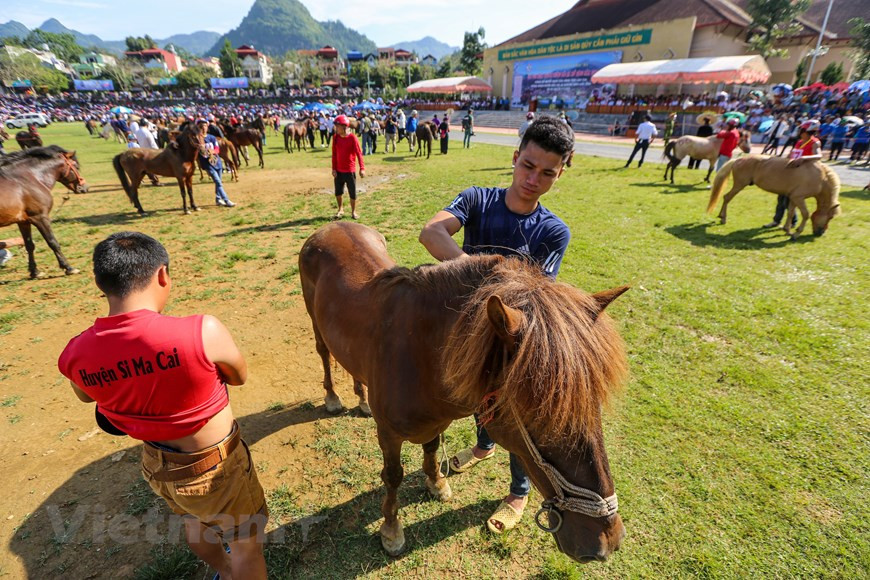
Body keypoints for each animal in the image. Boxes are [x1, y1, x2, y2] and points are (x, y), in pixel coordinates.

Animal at [0, 146, 89, 278]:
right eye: (76, 166)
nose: (85, 188)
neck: (26, 179)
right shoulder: (40, 217)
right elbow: (52, 242)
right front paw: (68, 268)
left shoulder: (23, 221)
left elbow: (29, 245)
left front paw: (35, 272)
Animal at [300, 222, 628, 561]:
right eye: (541, 411)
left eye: (594, 402)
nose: (607, 540)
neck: (418, 355)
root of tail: (330, 227)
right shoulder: (388, 434)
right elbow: (392, 476)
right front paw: (391, 530)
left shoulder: (435, 423)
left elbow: (431, 450)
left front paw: (436, 483)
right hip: (316, 324)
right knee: (324, 353)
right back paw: (333, 398)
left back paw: (362, 400)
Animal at [708, 154, 841, 239]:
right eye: (830, 217)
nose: (821, 233)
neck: (821, 177)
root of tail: (738, 159)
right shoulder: (799, 198)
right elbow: (806, 214)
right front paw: (796, 233)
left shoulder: (793, 198)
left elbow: (790, 213)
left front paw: (787, 230)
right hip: (739, 185)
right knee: (727, 197)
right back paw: (723, 218)